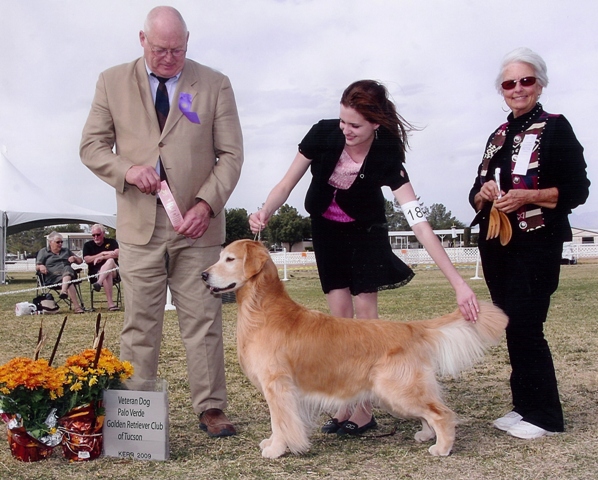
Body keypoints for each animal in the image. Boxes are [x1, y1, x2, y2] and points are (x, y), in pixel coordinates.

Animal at [204, 240, 508, 458]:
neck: (261, 309)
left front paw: (277, 449)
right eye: (219, 257)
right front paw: (272, 443)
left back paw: (442, 447)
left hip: (396, 389)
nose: (203, 274)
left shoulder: (277, 386)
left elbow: (281, 422)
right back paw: (426, 435)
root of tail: (410, 327)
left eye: (229, 259)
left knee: (441, 413)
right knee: (431, 410)